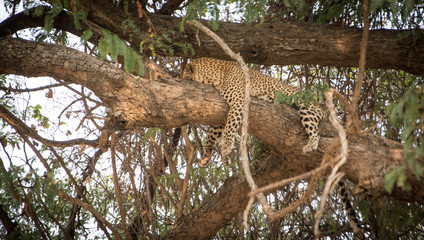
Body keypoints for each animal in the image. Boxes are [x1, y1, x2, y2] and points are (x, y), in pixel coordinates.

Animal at [182, 57, 324, 167]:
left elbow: (230, 126)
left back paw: (310, 145)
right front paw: (206, 155)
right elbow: (213, 133)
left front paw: (226, 146)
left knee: (315, 131)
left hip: (306, 106)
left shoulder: (239, 101)